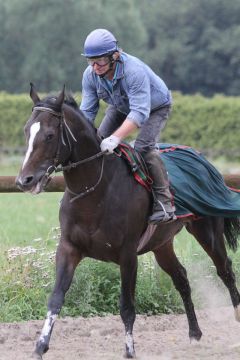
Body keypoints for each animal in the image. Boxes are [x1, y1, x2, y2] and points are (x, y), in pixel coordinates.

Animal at [15, 83, 240, 358]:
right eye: (27, 130)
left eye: (49, 135)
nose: (25, 181)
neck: (95, 191)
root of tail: (202, 159)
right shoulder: (68, 248)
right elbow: (56, 298)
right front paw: (40, 346)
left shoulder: (127, 254)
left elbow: (127, 306)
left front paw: (130, 350)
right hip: (161, 243)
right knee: (182, 278)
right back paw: (195, 334)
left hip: (207, 231)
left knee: (225, 270)